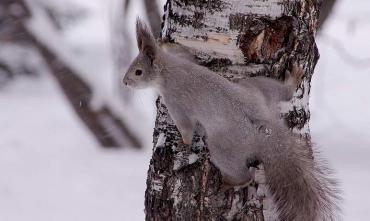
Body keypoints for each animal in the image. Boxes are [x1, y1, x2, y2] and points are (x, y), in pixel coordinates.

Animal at [123, 19, 340, 221]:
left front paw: (183, 142)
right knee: (283, 93)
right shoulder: (185, 59)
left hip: (223, 148)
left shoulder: (176, 101)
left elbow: (186, 126)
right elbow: (186, 53)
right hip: (257, 87)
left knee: (245, 175)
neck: (168, 70)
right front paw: (164, 42)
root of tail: (265, 130)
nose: (124, 82)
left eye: (138, 72)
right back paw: (293, 79)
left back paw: (230, 182)